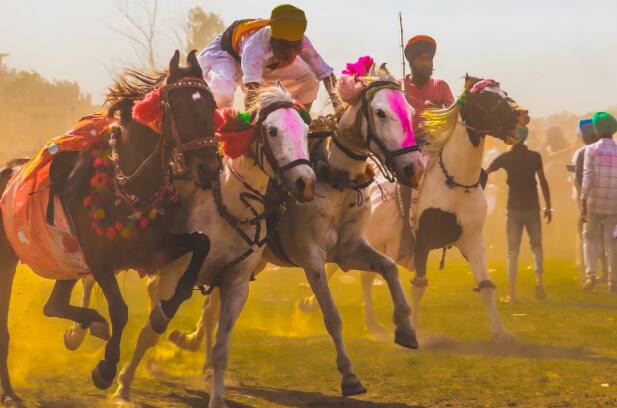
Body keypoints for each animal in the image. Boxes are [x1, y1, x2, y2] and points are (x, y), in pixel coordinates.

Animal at [0, 50, 221, 404]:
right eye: (181, 107)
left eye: (212, 104)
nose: (209, 168)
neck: (127, 184)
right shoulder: (100, 259)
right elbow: (119, 310)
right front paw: (105, 368)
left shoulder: (151, 251)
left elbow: (201, 243)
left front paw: (167, 306)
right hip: (9, 262)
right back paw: (10, 392)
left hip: (65, 262)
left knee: (53, 305)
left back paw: (90, 325)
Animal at [164, 68, 426, 396]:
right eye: (380, 112)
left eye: (410, 111)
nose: (414, 169)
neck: (335, 180)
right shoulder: (312, 258)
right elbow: (332, 315)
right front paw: (349, 375)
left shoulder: (349, 251)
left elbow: (389, 268)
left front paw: (405, 329)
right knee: (212, 305)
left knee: (214, 305)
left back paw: (201, 355)